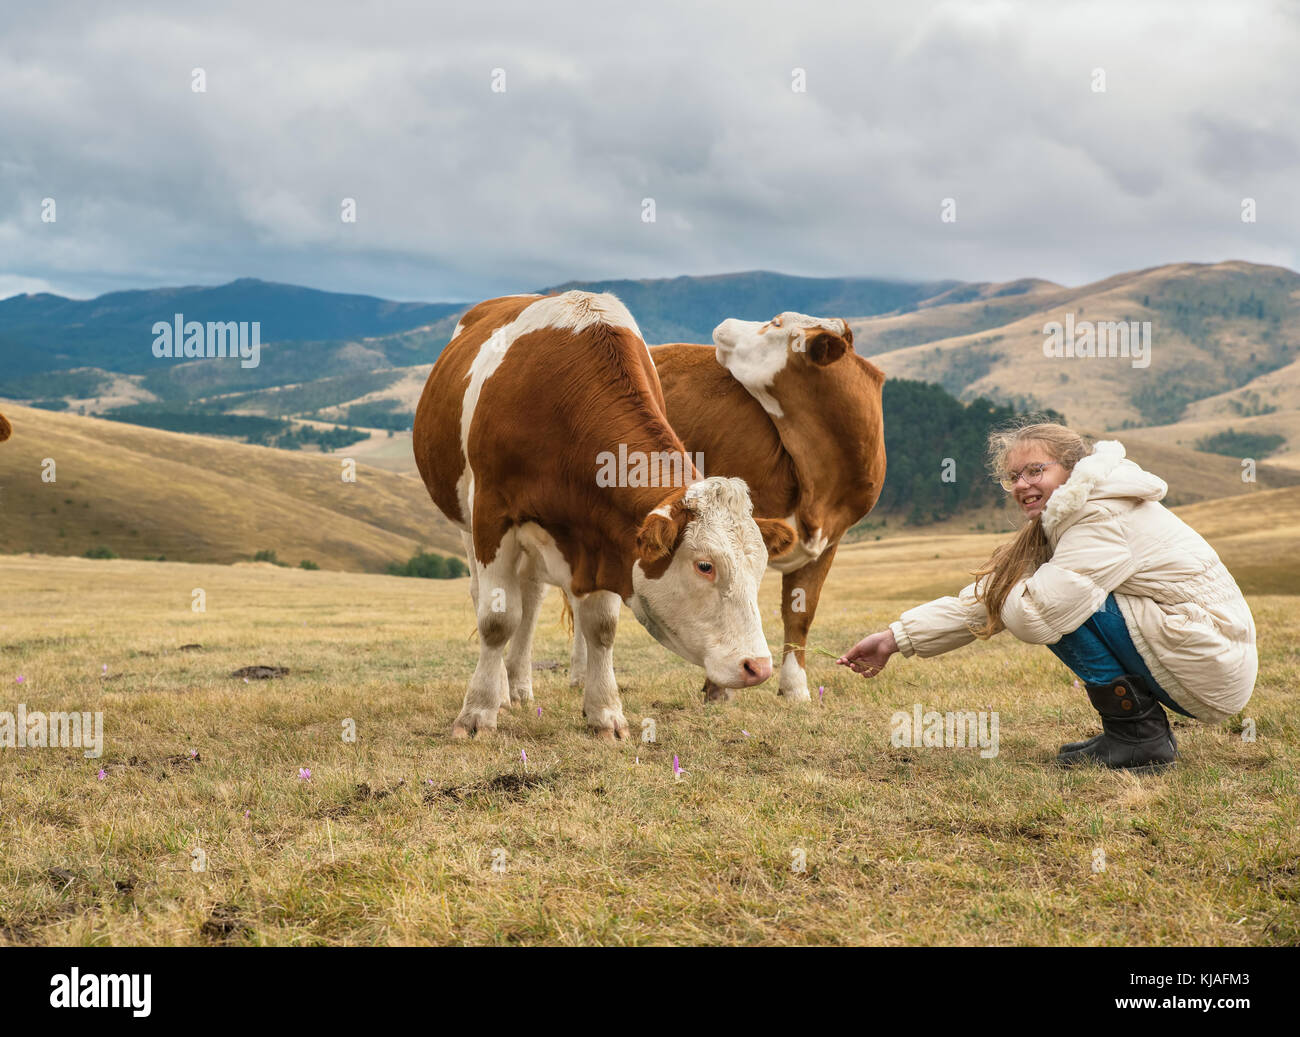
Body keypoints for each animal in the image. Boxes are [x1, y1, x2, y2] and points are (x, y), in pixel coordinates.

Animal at [412, 291, 796, 740]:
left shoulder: (607, 536)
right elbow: (496, 619)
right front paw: (477, 713)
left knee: (532, 598)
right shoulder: (492, 515)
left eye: (761, 567)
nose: (758, 667)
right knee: (490, 598)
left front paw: (605, 714)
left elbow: (600, 626)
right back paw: (505, 692)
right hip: (466, 524)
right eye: (705, 565)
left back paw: (520, 685)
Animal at [645, 312, 886, 702]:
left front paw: (795, 688)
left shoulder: (827, 543)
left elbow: (800, 612)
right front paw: (719, 690)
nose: (725, 322)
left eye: (774, 323)